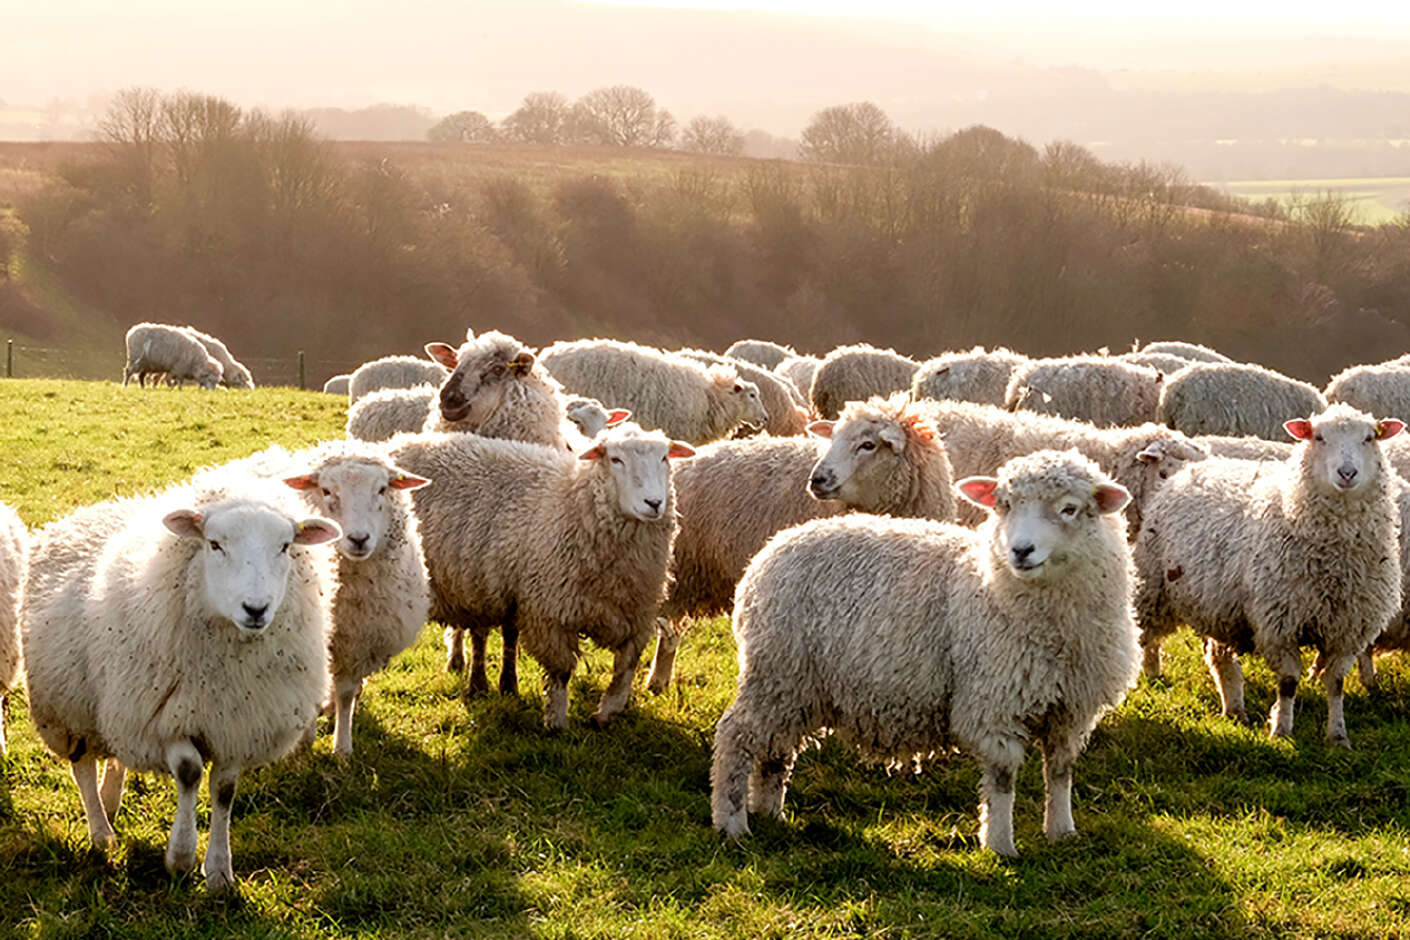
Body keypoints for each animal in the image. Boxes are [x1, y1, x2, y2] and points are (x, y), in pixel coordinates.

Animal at [21, 475, 340, 889]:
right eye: (214, 544)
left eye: (285, 546)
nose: (256, 609)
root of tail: (86, 512)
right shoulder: (167, 719)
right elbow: (189, 772)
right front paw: (181, 857)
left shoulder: (236, 724)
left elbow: (224, 791)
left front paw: (219, 871)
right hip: (72, 708)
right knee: (83, 768)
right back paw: (101, 832)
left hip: (118, 706)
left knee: (115, 755)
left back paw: (110, 802)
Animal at [279, 442, 432, 757]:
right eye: (326, 491)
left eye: (382, 489)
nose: (359, 539)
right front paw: (304, 744)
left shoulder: (358, 641)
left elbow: (347, 693)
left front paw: (342, 749)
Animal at [386, 424, 693, 728]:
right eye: (616, 460)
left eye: (664, 458)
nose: (654, 503)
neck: (574, 504)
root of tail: (396, 444)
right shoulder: (551, 612)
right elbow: (560, 672)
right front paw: (556, 722)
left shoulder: (636, 612)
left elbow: (625, 668)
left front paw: (606, 713)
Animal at [711, 450, 1140, 855]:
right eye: (1003, 505)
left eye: (1069, 508)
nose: (1021, 551)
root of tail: (769, 552)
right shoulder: (992, 702)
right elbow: (1003, 778)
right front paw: (1000, 845)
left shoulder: (1072, 709)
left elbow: (1061, 770)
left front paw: (1063, 832)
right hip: (776, 670)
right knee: (735, 736)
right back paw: (732, 823)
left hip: (798, 686)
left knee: (776, 750)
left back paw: (771, 814)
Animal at [1133, 404, 1402, 746]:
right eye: (1318, 437)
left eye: (1369, 438)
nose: (1347, 473)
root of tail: (1188, 471)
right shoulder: (1279, 623)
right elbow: (1288, 681)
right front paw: (1281, 730)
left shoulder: (1348, 628)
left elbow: (1336, 683)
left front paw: (1338, 736)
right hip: (1152, 588)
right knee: (1140, 635)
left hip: (1218, 605)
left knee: (1219, 657)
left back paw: (1235, 709)